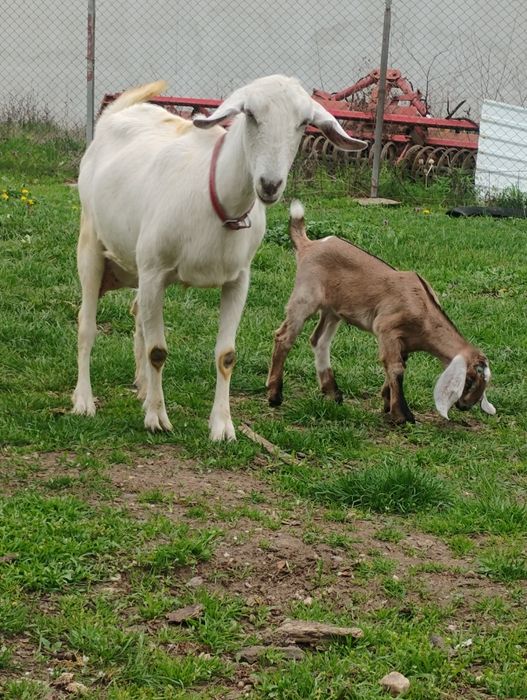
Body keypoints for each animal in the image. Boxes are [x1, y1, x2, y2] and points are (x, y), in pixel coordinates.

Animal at [72, 76, 367, 439]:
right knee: (87, 325)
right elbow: (158, 351)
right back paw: (84, 401)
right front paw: (157, 418)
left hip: (137, 266)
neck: (215, 198)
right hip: (92, 244)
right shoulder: (155, 270)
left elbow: (226, 355)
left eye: (303, 123)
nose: (269, 184)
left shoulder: (238, 279)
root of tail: (116, 114)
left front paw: (223, 426)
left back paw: (142, 387)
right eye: (250, 114)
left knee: (138, 313)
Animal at [267, 201, 496, 423]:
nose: (465, 406)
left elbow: (397, 365)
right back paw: (275, 395)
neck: (424, 312)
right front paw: (402, 415)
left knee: (319, 341)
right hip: (305, 297)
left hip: (333, 310)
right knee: (284, 337)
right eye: (470, 380)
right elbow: (396, 368)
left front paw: (387, 402)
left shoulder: (401, 342)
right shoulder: (386, 328)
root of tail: (309, 245)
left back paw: (333, 393)